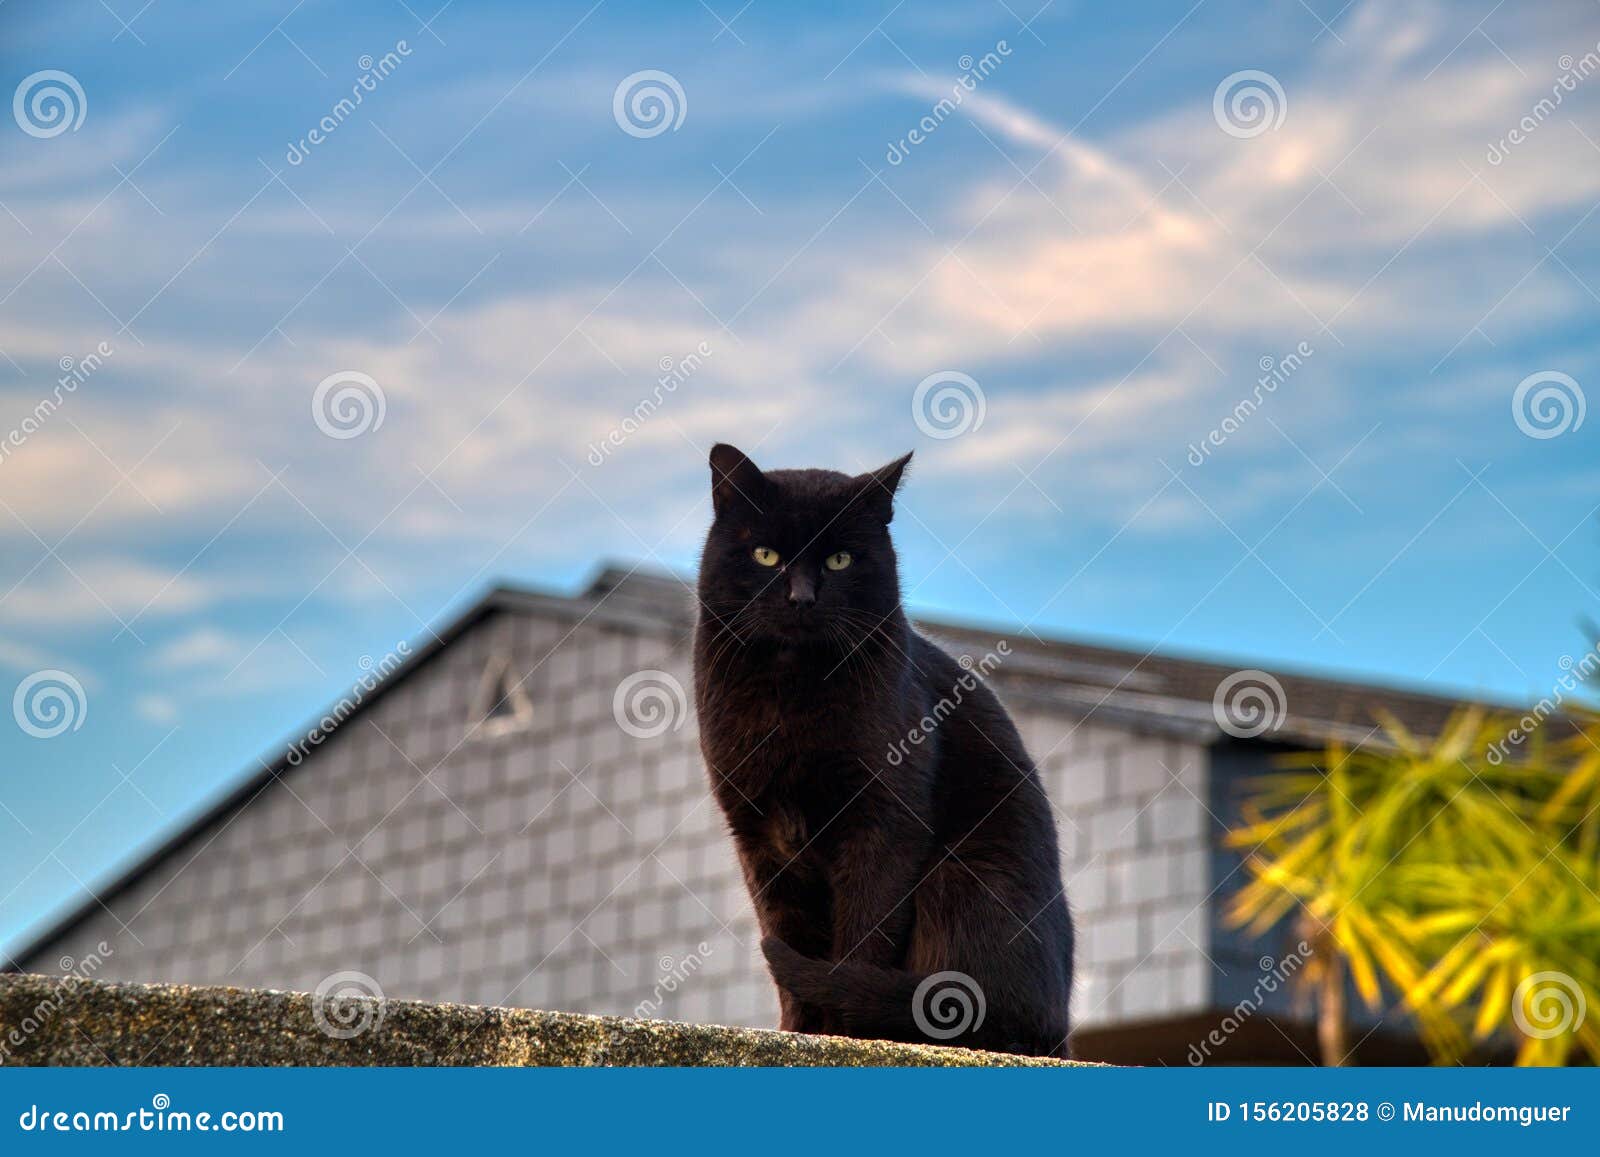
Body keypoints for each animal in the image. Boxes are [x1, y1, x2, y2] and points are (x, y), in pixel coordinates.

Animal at [691, 441, 1075, 1056]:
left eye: (840, 560)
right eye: (766, 554)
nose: (801, 598)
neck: (790, 695)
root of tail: (1060, 1030)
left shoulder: (884, 821)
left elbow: (864, 933)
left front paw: (848, 1035)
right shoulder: (760, 834)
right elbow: (787, 927)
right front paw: (801, 1030)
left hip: (960, 877)